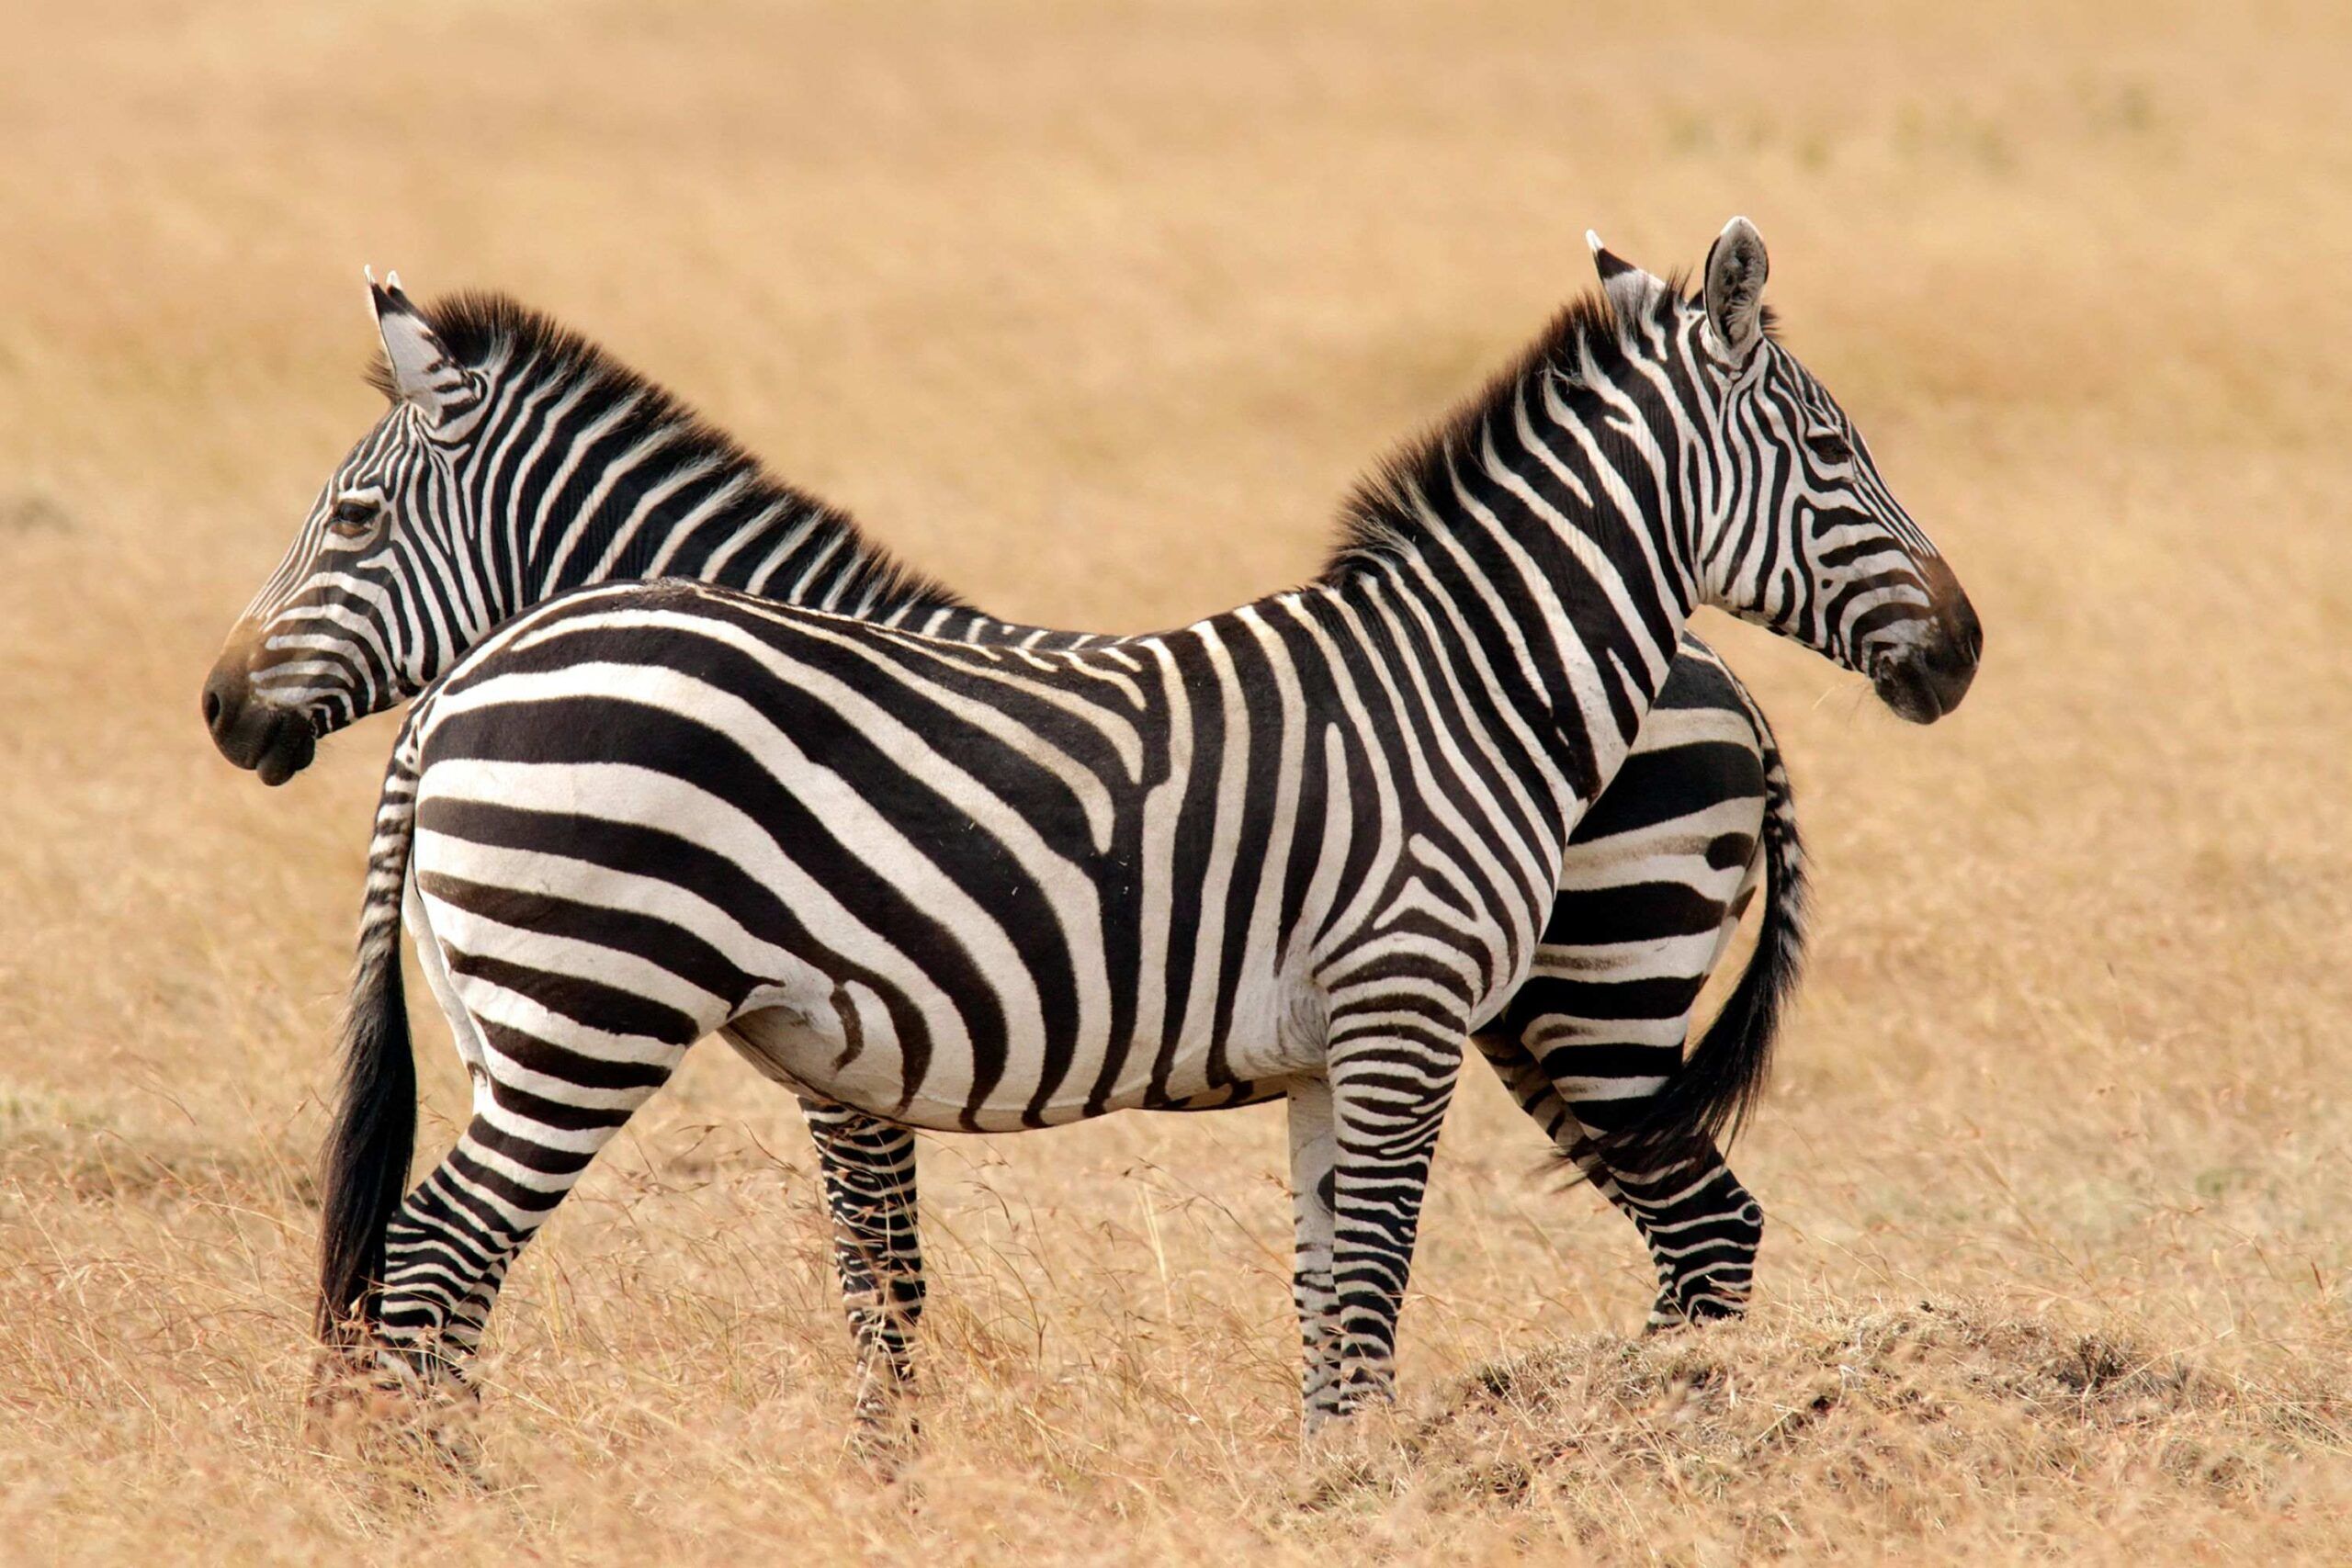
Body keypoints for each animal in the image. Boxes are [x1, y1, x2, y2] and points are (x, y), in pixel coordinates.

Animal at [303, 220, 1975, 1438]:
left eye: (351, 523)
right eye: (1838, 451)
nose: (1960, 653)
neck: (1464, 676)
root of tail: (458, 693)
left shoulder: (1348, 1032)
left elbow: (1329, 1295)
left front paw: (1333, 1488)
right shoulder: (1385, 1007)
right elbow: (1315, 1285)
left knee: (1707, 1229)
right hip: (580, 1007)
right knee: (436, 1257)